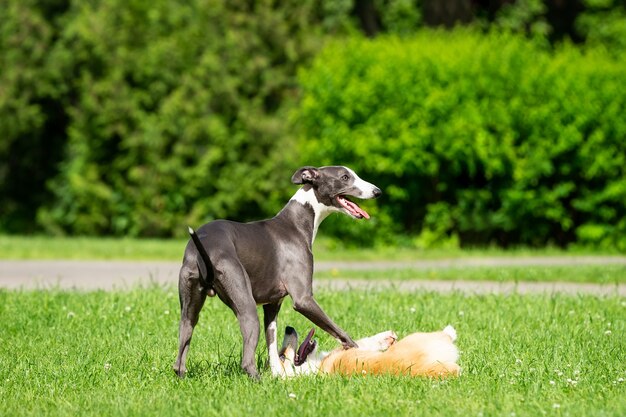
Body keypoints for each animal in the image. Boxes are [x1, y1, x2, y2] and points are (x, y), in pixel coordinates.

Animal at [173, 165, 382, 376]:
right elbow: (342, 333)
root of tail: (204, 248)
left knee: (179, 358)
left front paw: (277, 373)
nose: (377, 192)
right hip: (247, 307)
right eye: (345, 177)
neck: (296, 223)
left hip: (189, 310)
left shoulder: (272, 304)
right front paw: (363, 352)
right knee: (246, 361)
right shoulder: (303, 299)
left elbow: (272, 344)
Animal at [276, 324, 458, 376]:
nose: (288, 328)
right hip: (418, 338)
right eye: (281, 356)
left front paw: (387, 337)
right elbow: (365, 342)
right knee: (445, 335)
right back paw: (450, 331)